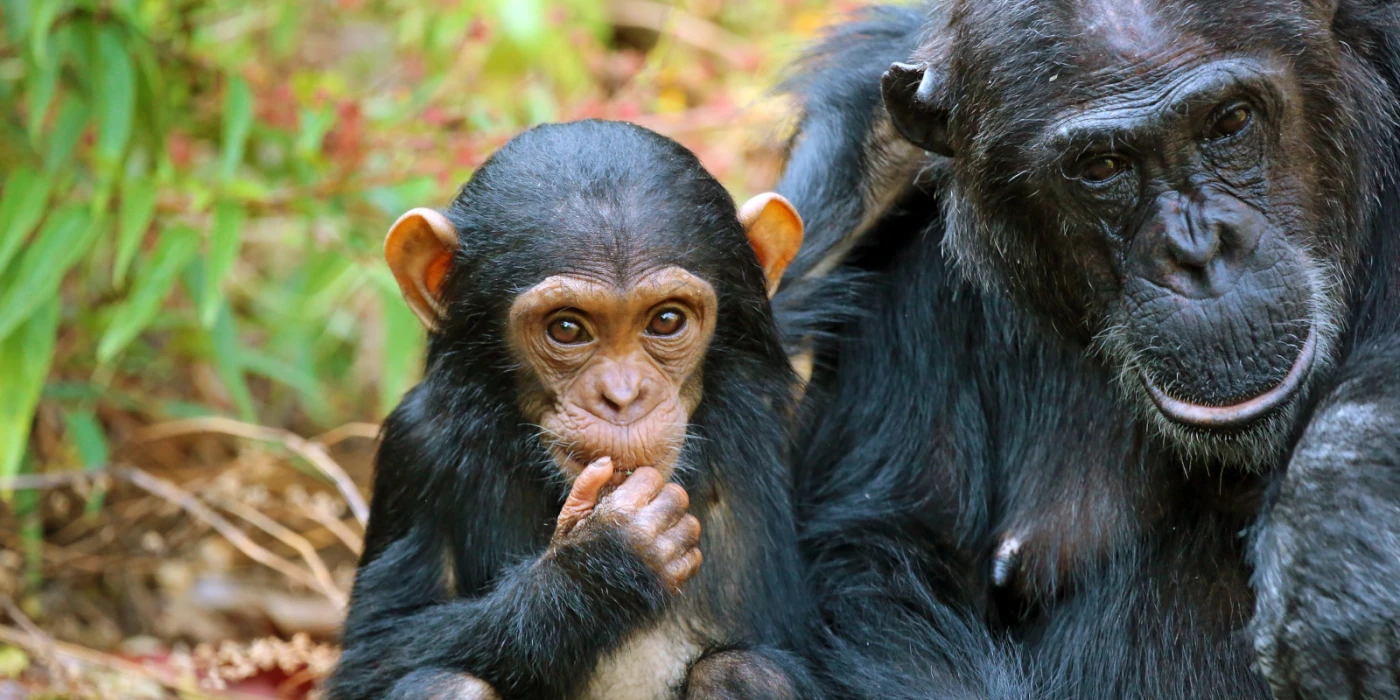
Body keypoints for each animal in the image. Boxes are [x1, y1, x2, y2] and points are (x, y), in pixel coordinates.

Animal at [320, 120, 817, 700]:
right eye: (566, 328)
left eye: (666, 320)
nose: (622, 396)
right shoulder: (415, 445)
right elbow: (375, 648)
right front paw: (603, 563)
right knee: (446, 684)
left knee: (745, 673)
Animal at [778, 1, 1400, 700]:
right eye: (1102, 166)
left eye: (1230, 122)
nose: (1198, 252)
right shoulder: (900, 272)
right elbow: (881, 560)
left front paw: (1336, 515)